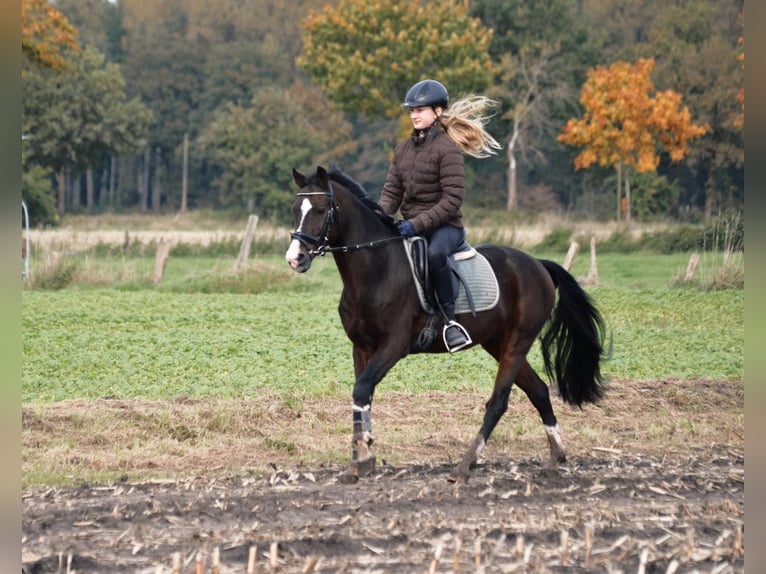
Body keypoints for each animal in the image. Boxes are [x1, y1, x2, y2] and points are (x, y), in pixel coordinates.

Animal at [284, 164, 608, 484]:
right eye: (295, 209)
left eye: (321, 209)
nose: (295, 259)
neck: (376, 270)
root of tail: (538, 264)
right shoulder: (362, 347)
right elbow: (362, 396)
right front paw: (361, 460)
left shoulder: (393, 346)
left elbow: (362, 389)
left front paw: (363, 457)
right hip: (497, 343)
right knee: (538, 390)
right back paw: (556, 457)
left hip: (518, 341)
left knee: (499, 402)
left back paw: (464, 467)